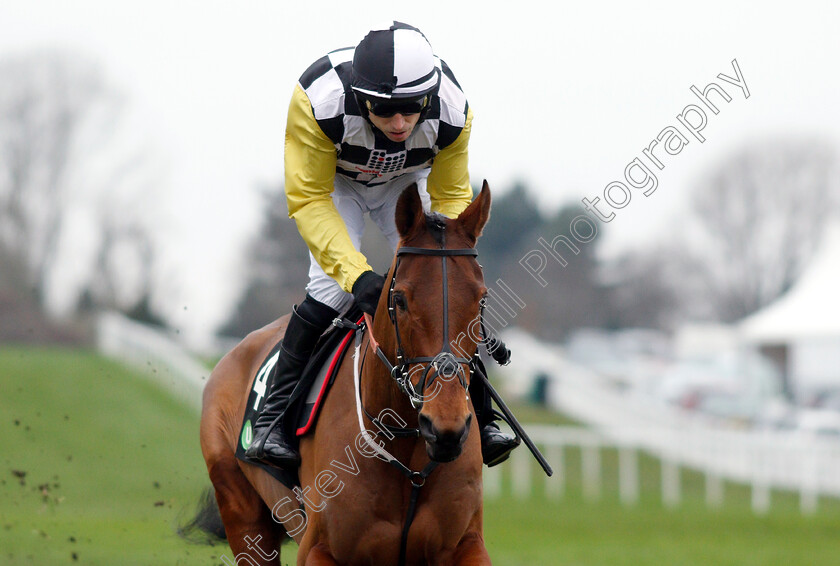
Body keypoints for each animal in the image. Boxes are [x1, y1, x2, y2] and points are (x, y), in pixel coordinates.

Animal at [199, 184, 492, 564]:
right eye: (400, 299)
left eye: (481, 300)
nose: (445, 426)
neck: (405, 445)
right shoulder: (320, 549)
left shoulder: (466, 544)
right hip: (243, 517)